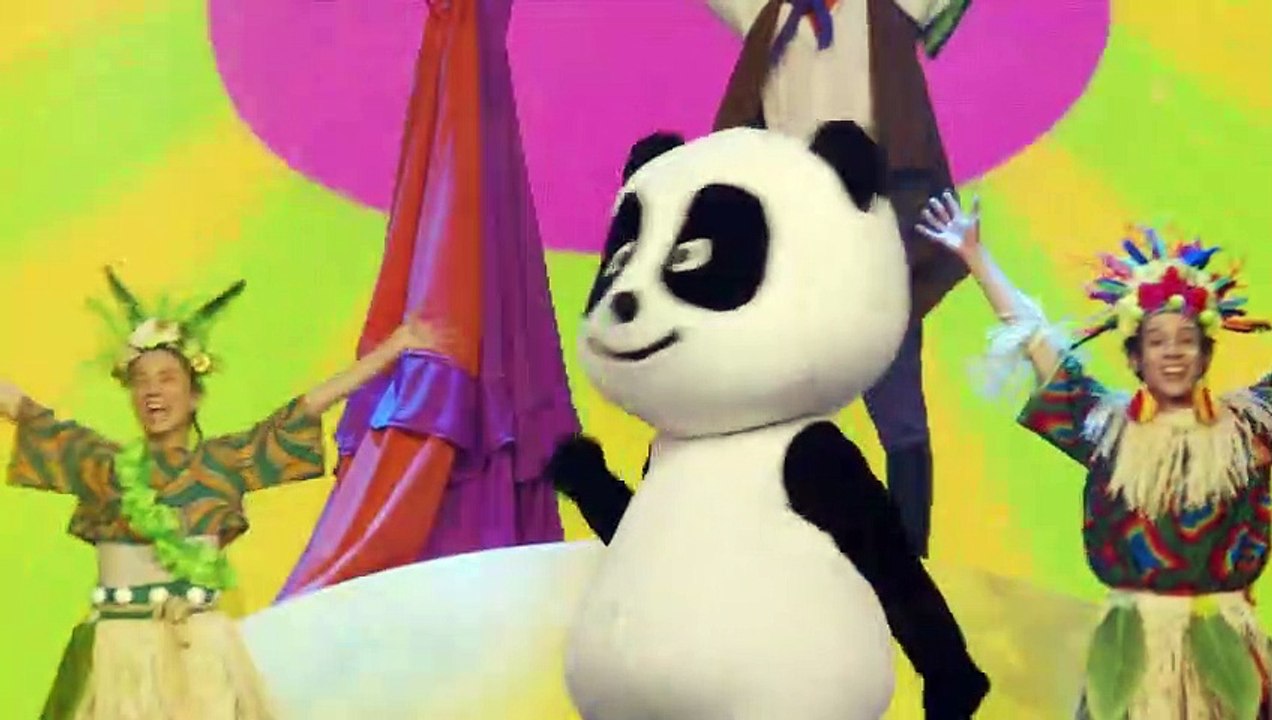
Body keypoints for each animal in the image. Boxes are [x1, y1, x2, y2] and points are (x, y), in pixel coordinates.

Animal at [547, 121, 989, 720]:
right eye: (617, 261)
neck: (729, 435)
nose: (620, 302)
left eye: (691, 255)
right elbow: (617, 516)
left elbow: (892, 563)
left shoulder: (816, 460)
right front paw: (574, 460)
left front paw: (955, 691)